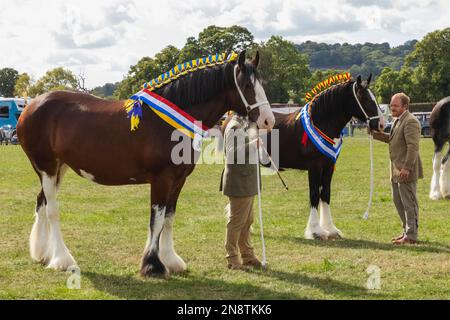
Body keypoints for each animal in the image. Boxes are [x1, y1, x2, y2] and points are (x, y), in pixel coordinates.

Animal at [16, 50, 274, 278]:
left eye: (263, 83)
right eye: (247, 86)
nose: (268, 120)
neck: (169, 122)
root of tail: (31, 105)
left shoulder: (178, 180)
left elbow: (169, 217)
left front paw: (170, 260)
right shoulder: (161, 179)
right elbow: (156, 220)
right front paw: (152, 265)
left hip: (59, 168)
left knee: (41, 203)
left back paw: (42, 254)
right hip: (47, 167)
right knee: (52, 209)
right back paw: (62, 260)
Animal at [264, 75, 384, 240]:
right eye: (365, 98)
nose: (382, 124)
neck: (320, 123)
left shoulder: (329, 167)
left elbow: (325, 194)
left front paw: (330, 229)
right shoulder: (314, 167)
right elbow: (314, 195)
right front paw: (315, 231)